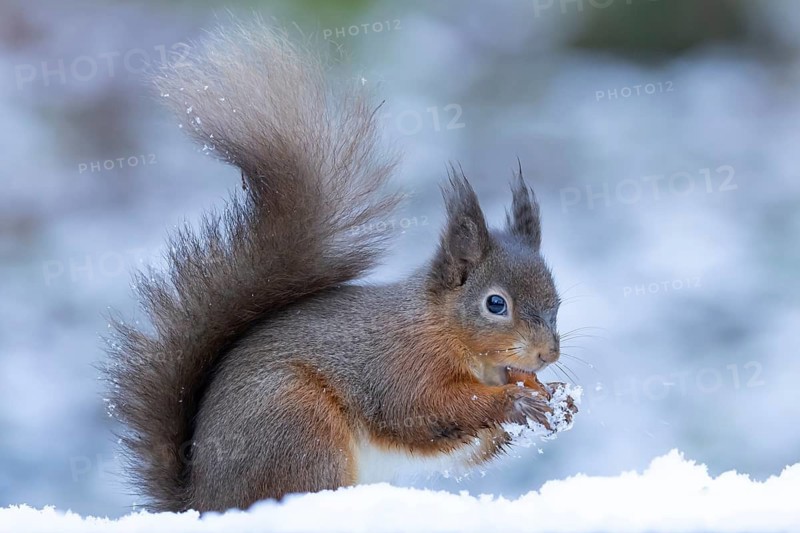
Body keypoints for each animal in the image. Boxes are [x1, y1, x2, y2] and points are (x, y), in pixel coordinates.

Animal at [106, 21, 575, 513]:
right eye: (495, 304)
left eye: (557, 303)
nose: (548, 354)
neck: (444, 329)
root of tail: (204, 501)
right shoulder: (400, 366)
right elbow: (425, 410)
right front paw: (516, 403)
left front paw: (558, 402)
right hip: (299, 424)